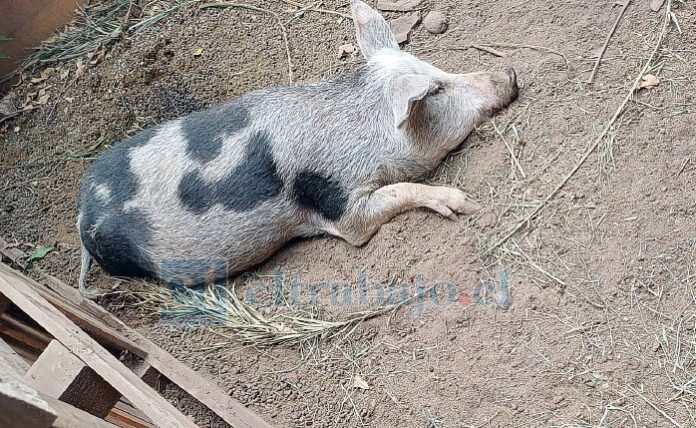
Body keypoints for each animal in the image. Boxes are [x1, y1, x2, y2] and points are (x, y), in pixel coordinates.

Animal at [75, 0, 516, 296]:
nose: (510, 74)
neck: (363, 131)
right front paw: (464, 203)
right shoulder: (338, 204)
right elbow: (374, 213)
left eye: (437, 71)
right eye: (436, 91)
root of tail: (83, 212)